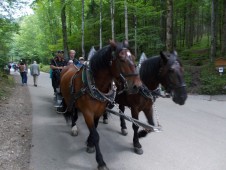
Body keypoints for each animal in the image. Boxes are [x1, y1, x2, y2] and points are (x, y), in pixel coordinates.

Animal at [60, 40, 141, 170]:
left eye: (133, 57)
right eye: (121, 59)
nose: (137, 86)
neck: (95, 85)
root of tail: (68, 66)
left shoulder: (99, 110)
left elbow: (95, 129)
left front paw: (89, 143)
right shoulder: (88, 112)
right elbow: (96, 135)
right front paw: (101, 161)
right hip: (69, 99)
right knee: (73, 113)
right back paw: (73, 127)